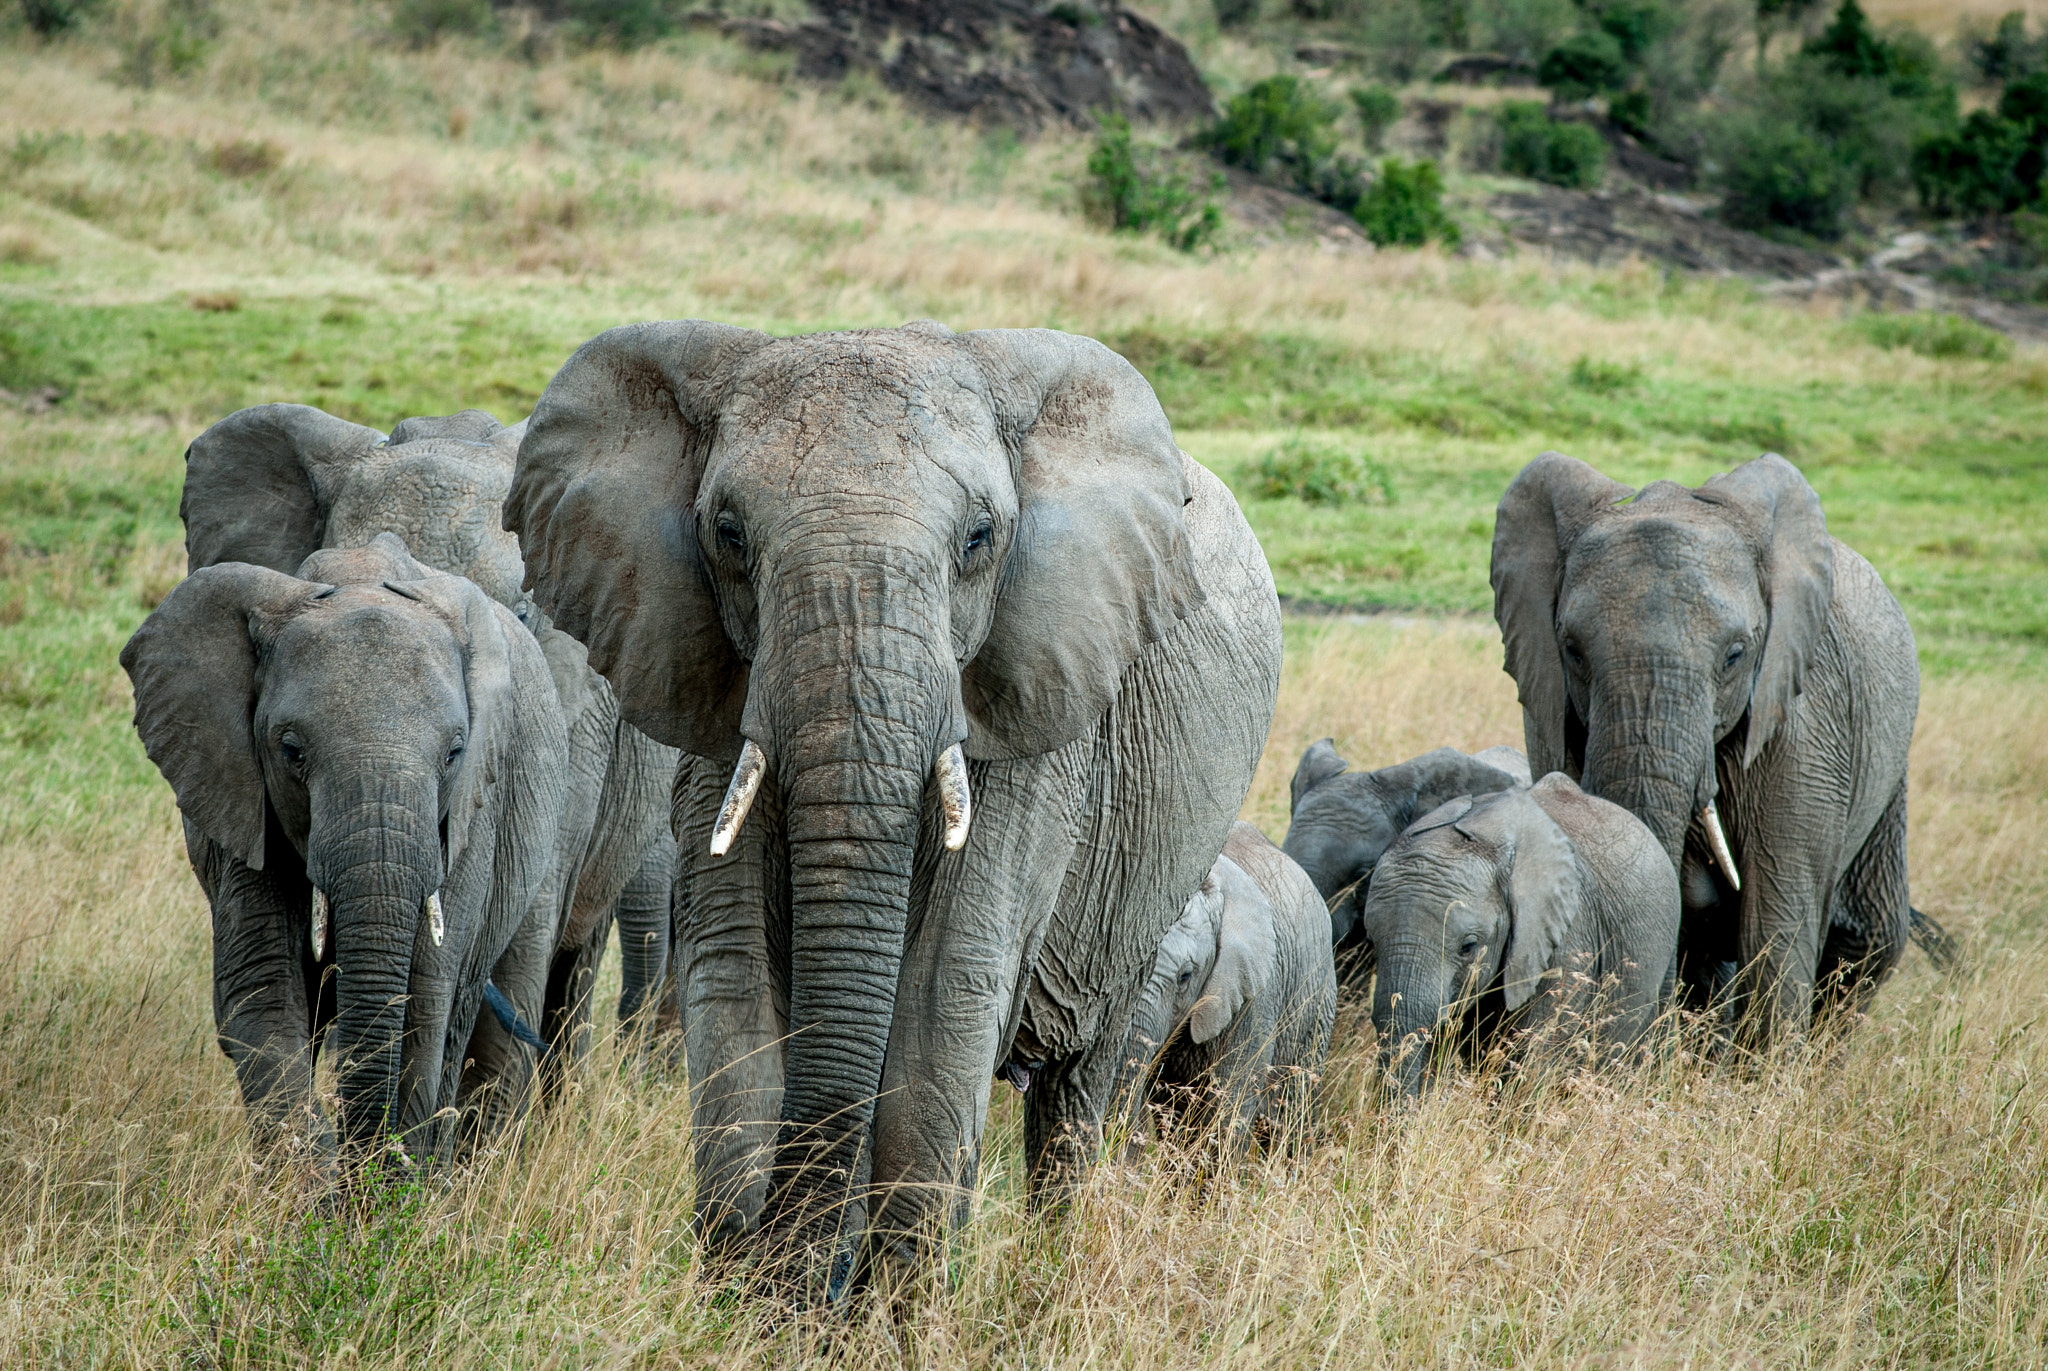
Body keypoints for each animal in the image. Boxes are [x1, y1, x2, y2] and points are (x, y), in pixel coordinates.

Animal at [120, 534, 571, 1167]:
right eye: (291, 751)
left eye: (455, 753)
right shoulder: (236, 791)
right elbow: (264, 995)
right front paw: (313, 1188)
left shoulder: (471, 817)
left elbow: (424, 1002)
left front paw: (389, 1189)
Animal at [502, 318, 1282, 1293]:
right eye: (728, 533)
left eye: (980, 537)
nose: (798, 1278)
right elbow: (734, 967)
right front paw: (751, 1299)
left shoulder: (1031, 715)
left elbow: (945, 983)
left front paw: (890, 1307)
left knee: (1081, 1086)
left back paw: (1054, 1263)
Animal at [1491, 451, 1918, 1044]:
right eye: (1572, 651)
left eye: (1735, 656)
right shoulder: (1547, 708)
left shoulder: (1806, 725)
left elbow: (1776, 920)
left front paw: (1766, 1070)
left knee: (1865, 940)